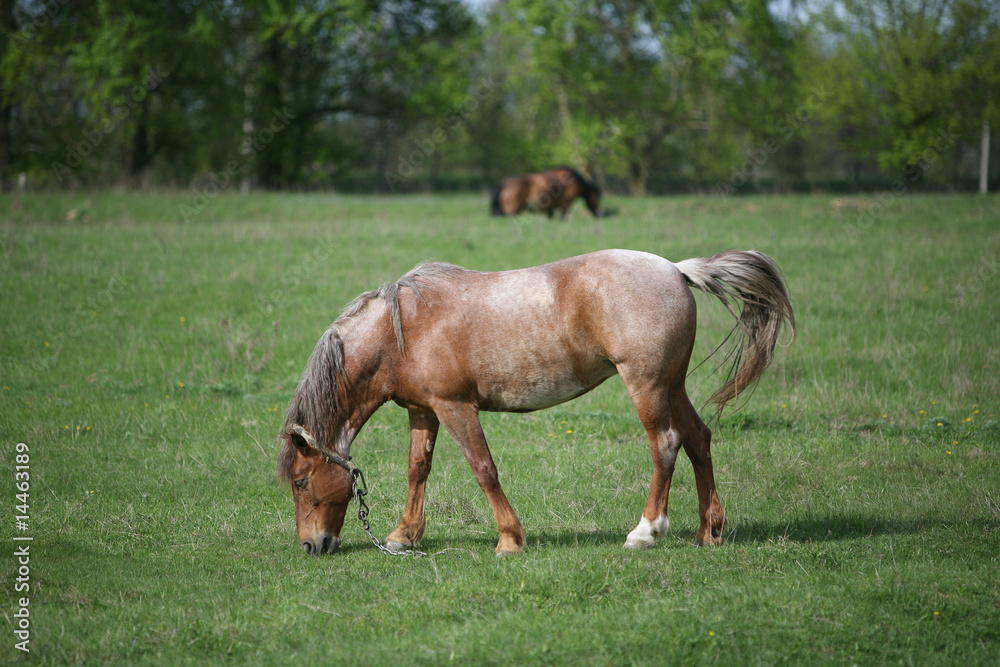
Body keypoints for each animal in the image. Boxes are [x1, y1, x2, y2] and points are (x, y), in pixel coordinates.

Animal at [278, 249, 794, 556]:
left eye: (301, 482)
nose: (312, 546)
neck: (402, 329)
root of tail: (675, 269)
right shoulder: (424, 411)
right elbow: (417, 470)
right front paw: (404, 536)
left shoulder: (455, 407)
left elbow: (483, 469)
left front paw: (509, 539)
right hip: (672, 385)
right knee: (698, 440)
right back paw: (710, 531)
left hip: (647, 386)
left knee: (665, 445)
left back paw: (646, 531)